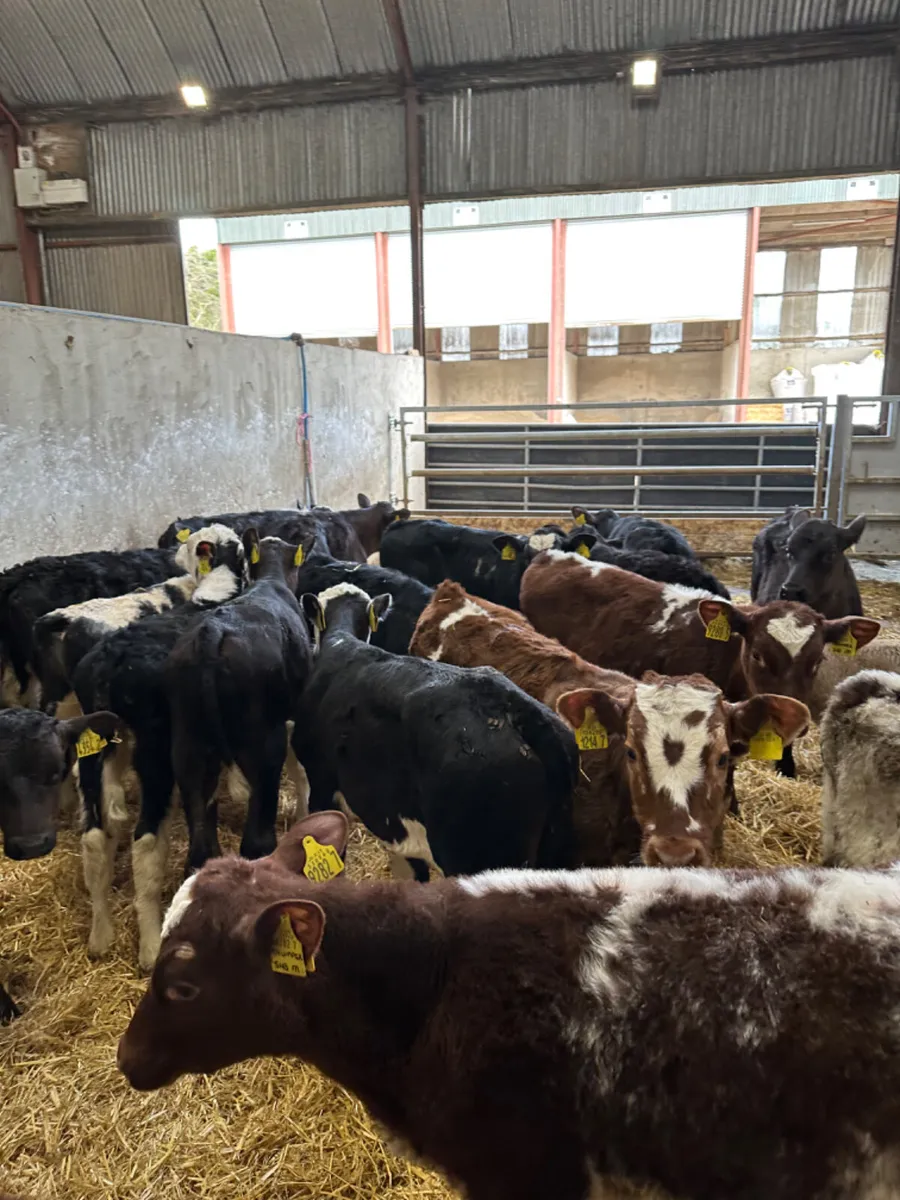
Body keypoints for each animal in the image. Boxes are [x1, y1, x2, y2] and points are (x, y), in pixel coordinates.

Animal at [72, 525, 251, 970]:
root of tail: (111, 663)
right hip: (154, 750)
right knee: (146, 842)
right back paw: (151, 947)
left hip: (94, 742)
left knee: (94, 837)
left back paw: (100, 936)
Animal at [165, 531, 317, 876]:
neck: (271, 581)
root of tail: (213, 631)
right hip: (263, 742)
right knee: (256, 840)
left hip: (188, 746)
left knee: (200, 847)